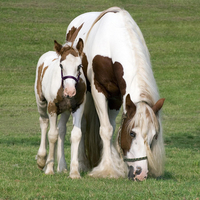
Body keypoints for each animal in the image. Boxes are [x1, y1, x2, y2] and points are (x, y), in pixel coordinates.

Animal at [34, 26, 86, 178]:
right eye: (61, 65)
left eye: (79, 66)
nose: (70, 91)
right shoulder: (52, 107)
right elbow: (52, 135)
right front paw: (49, 168)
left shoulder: (78, 107)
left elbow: (76, 134)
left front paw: (74, 172)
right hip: (41, 102)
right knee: (44, 123)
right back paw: (42, 160)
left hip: (66, 110)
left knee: (61, 129)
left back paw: (62, 166)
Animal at [65, 7, 165, 180]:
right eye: (132, 134)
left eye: (154, 136)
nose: (140, 173)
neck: (112, 40)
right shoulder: (98, 90)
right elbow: (105, 129)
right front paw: (107, 169)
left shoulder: (117, 98)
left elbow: (111, 128)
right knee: (82, 125)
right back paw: (83, 164)